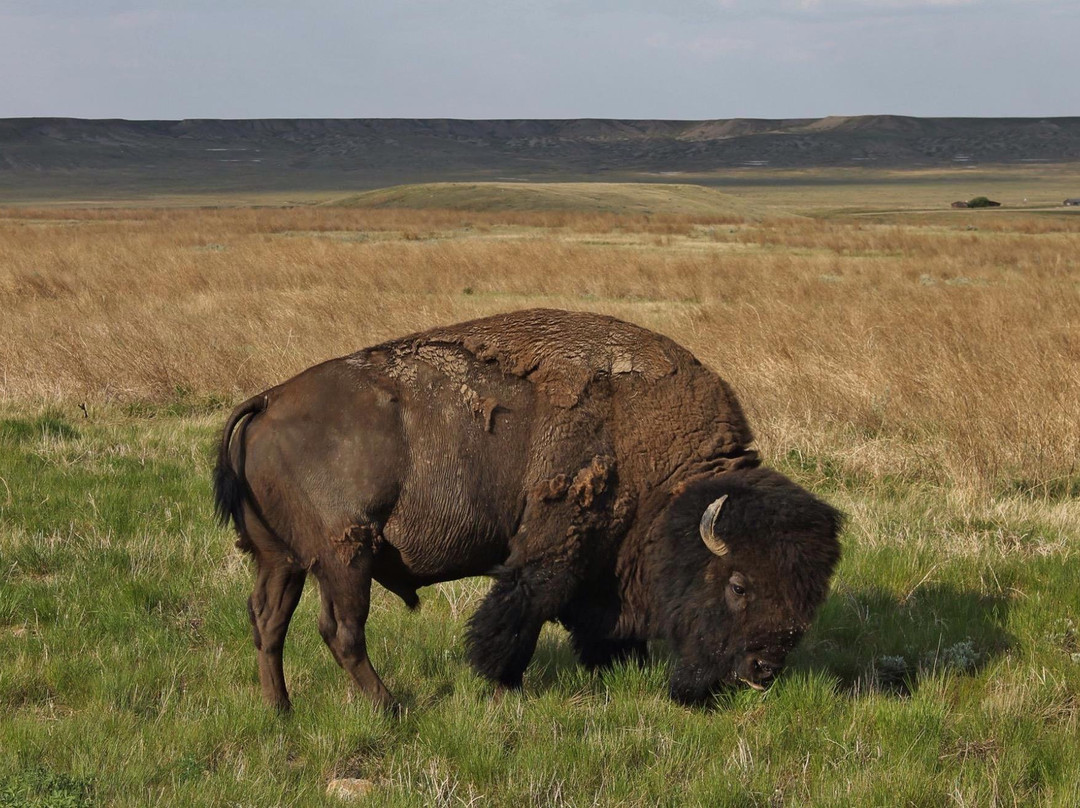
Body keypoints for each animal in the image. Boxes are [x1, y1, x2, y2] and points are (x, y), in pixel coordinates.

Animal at [214, 306, 842, 708]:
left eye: (811, 596)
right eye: (739, 584)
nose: (763, 670)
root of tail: (268, 400)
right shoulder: (553, 548)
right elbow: (521, 611)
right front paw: (502, 684)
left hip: (282, 561)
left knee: (268, 623)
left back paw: (280, 711)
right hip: (346, 557)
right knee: (341, 631)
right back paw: (390, 708)